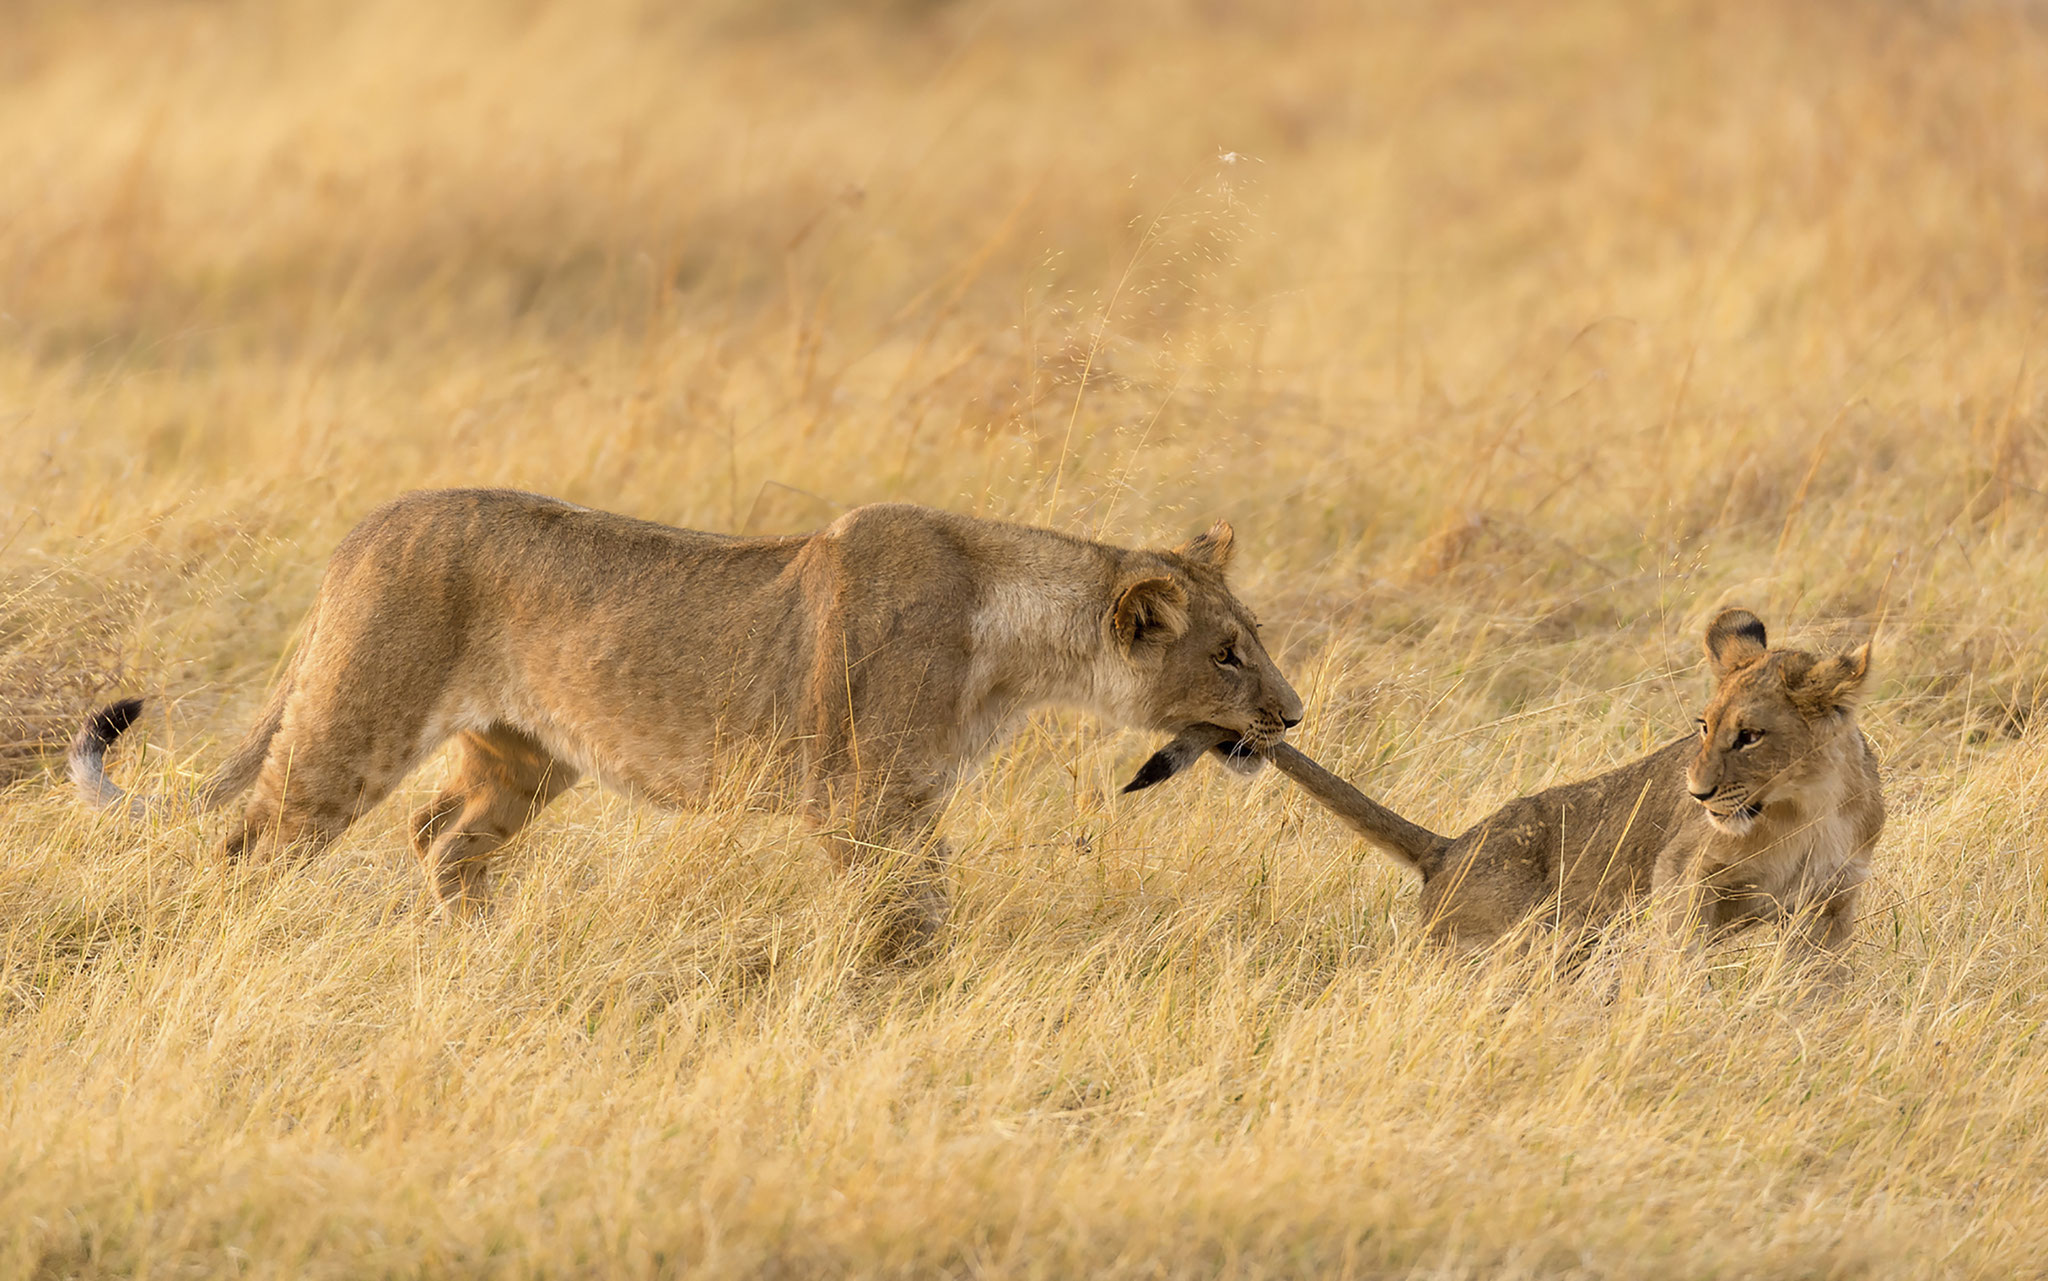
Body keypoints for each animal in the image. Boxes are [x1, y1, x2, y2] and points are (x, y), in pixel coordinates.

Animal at [72, 489, 1303, 941]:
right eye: (1227, 652)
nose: (1292, 717)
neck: (1013, 645)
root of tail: (364, 526)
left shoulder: (909, 804)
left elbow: (925, 902)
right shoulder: (858, 804)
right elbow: (903, 918)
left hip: (524, 756)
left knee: (442, 834)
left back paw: (481, 953)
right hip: (356, 721)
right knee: (250, 841)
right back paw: (228, 947)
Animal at [1127, 609, 1883, 956]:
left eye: (1750, 736)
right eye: (1703, 724)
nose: (1697, 792)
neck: (1804, 807)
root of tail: (1447, 848)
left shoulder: (1835, 899)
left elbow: (1828, 981)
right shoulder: (1682, 878)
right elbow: (1677, 958)